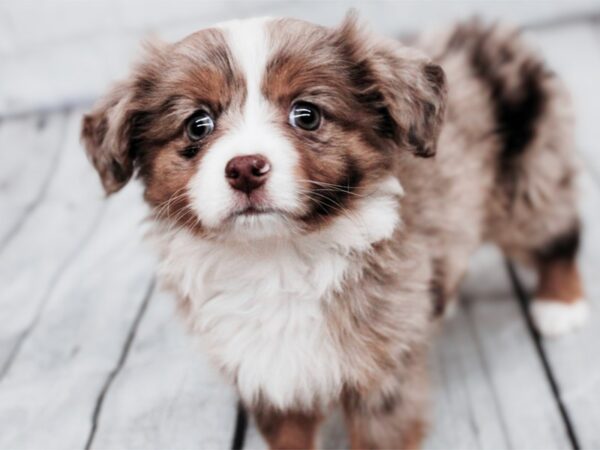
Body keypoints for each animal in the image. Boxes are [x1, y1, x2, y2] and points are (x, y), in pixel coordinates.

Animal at [82, 14, 588, 450]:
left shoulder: (382, 379)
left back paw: (559, 304)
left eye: (306, 114)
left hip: (529, 186)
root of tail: (485, 30)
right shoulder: (269, 376)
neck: (275, 256)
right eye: (197, 124)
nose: (245, 168)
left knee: (558, 233)